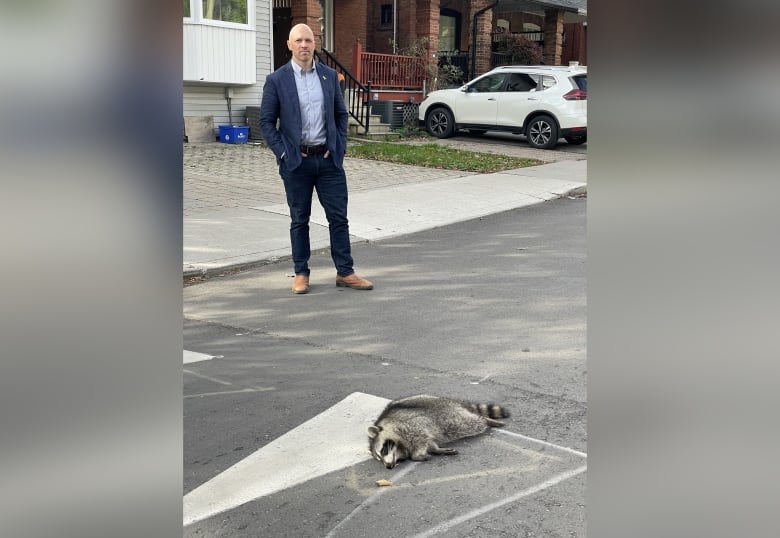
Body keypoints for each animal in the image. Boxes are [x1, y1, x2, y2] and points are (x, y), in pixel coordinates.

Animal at [368, 394, 508, 464]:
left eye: (383, 451)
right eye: (379, 459)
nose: (388, 466)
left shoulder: (409, 426)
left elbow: (420, 438)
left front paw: (417, 455)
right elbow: (429, 441)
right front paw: (436, 449)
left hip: (448, 415)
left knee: (467, 424)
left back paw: (484, 420)